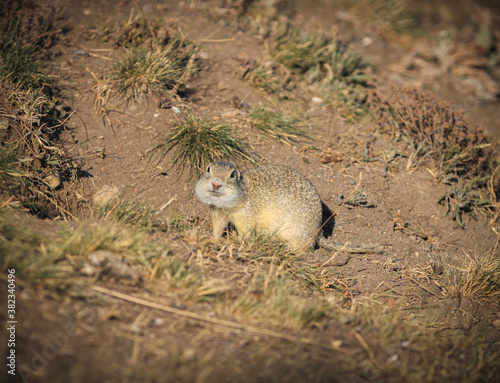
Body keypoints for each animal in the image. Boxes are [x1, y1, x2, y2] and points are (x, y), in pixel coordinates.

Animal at [193, 162, 380, 255]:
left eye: (232, 174)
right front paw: (212, 239)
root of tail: (317, 233)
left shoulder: (245, 217)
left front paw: (234, 241)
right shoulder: (218, 213)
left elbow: (245, 235)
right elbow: (217, 229)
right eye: (208, 169)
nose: (216, 184)